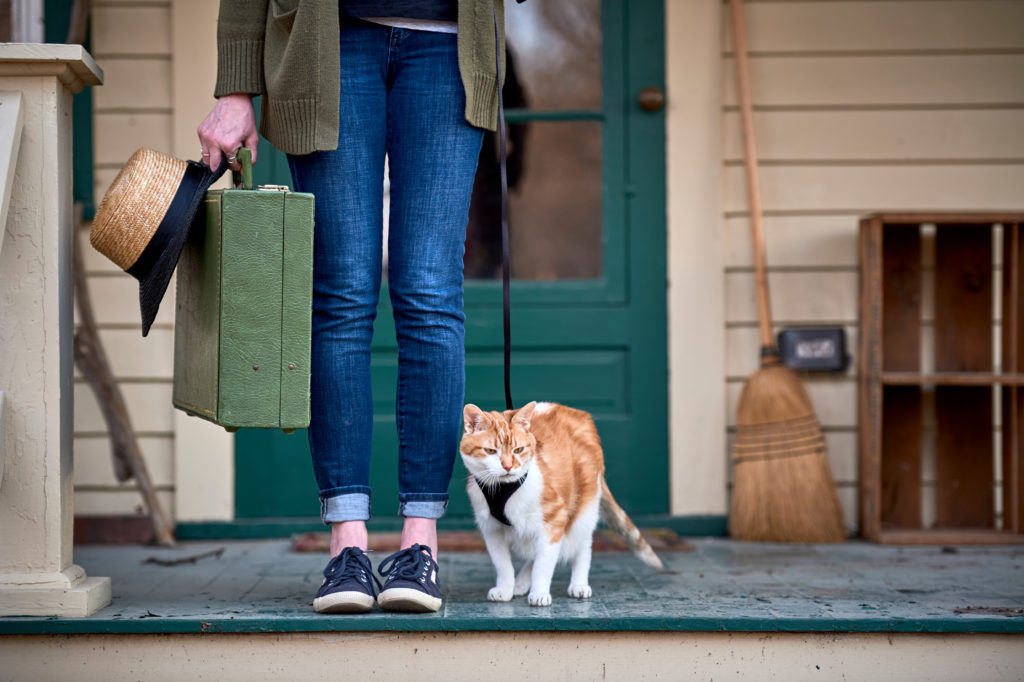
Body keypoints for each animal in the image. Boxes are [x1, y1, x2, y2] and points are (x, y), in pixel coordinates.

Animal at [462, 399, 663, 606]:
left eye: (519, 450)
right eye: (490, 451)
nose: (509, 467)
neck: (503, 488)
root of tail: (578, 414)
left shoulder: (554, 517)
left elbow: (544, 564)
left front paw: (539, 592)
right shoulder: (491, 528)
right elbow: (503, 564)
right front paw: (505, 589)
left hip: (584, 507)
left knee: (581, 545)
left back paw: (579, 584)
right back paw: (521, 584)